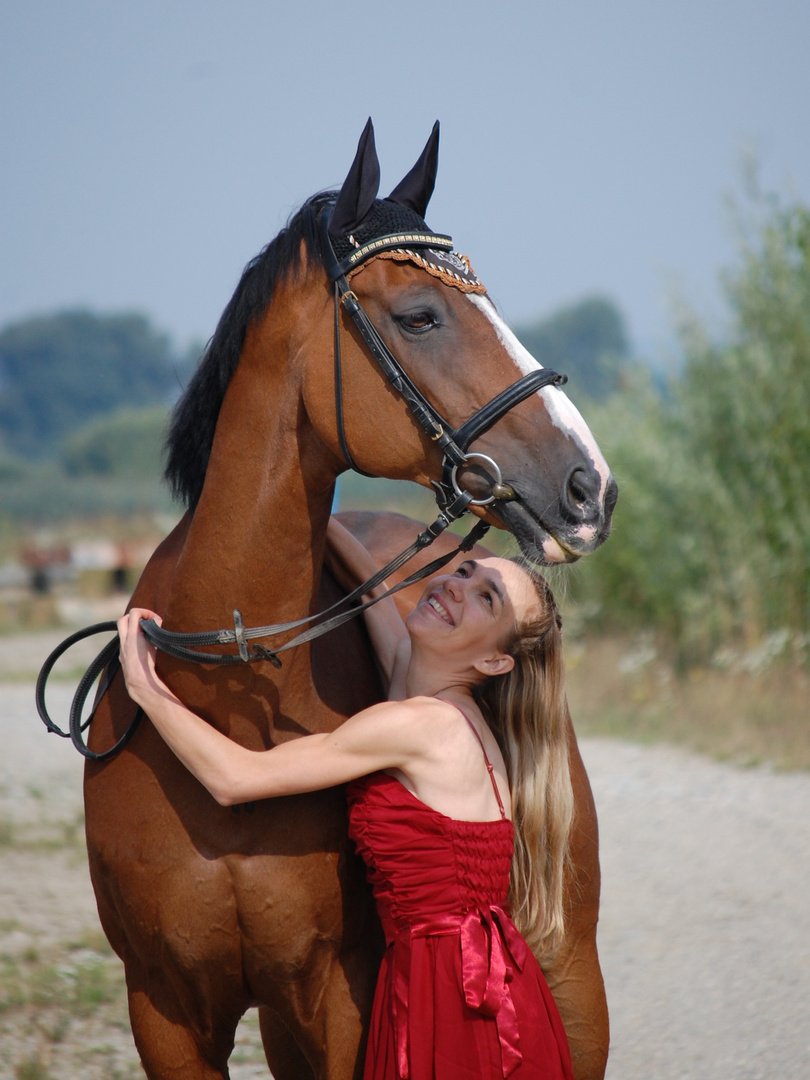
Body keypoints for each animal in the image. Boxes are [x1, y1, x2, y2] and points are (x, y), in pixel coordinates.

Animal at [84, 120, 613, 1080]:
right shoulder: (164, 1009)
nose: (589, 485)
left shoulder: (338, 996)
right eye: (420, 315)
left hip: (572, 972)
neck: (226, 702)